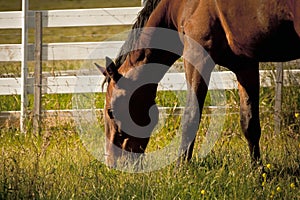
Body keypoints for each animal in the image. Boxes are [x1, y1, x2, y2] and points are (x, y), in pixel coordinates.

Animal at [97, 0, 300, 168]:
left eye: (110, 112)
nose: (112, 163)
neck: (181, 5)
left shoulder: (197, 58)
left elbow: (191, 117)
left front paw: (180, 168)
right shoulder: (245, 65)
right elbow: (249, 122)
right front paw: (257, 171)